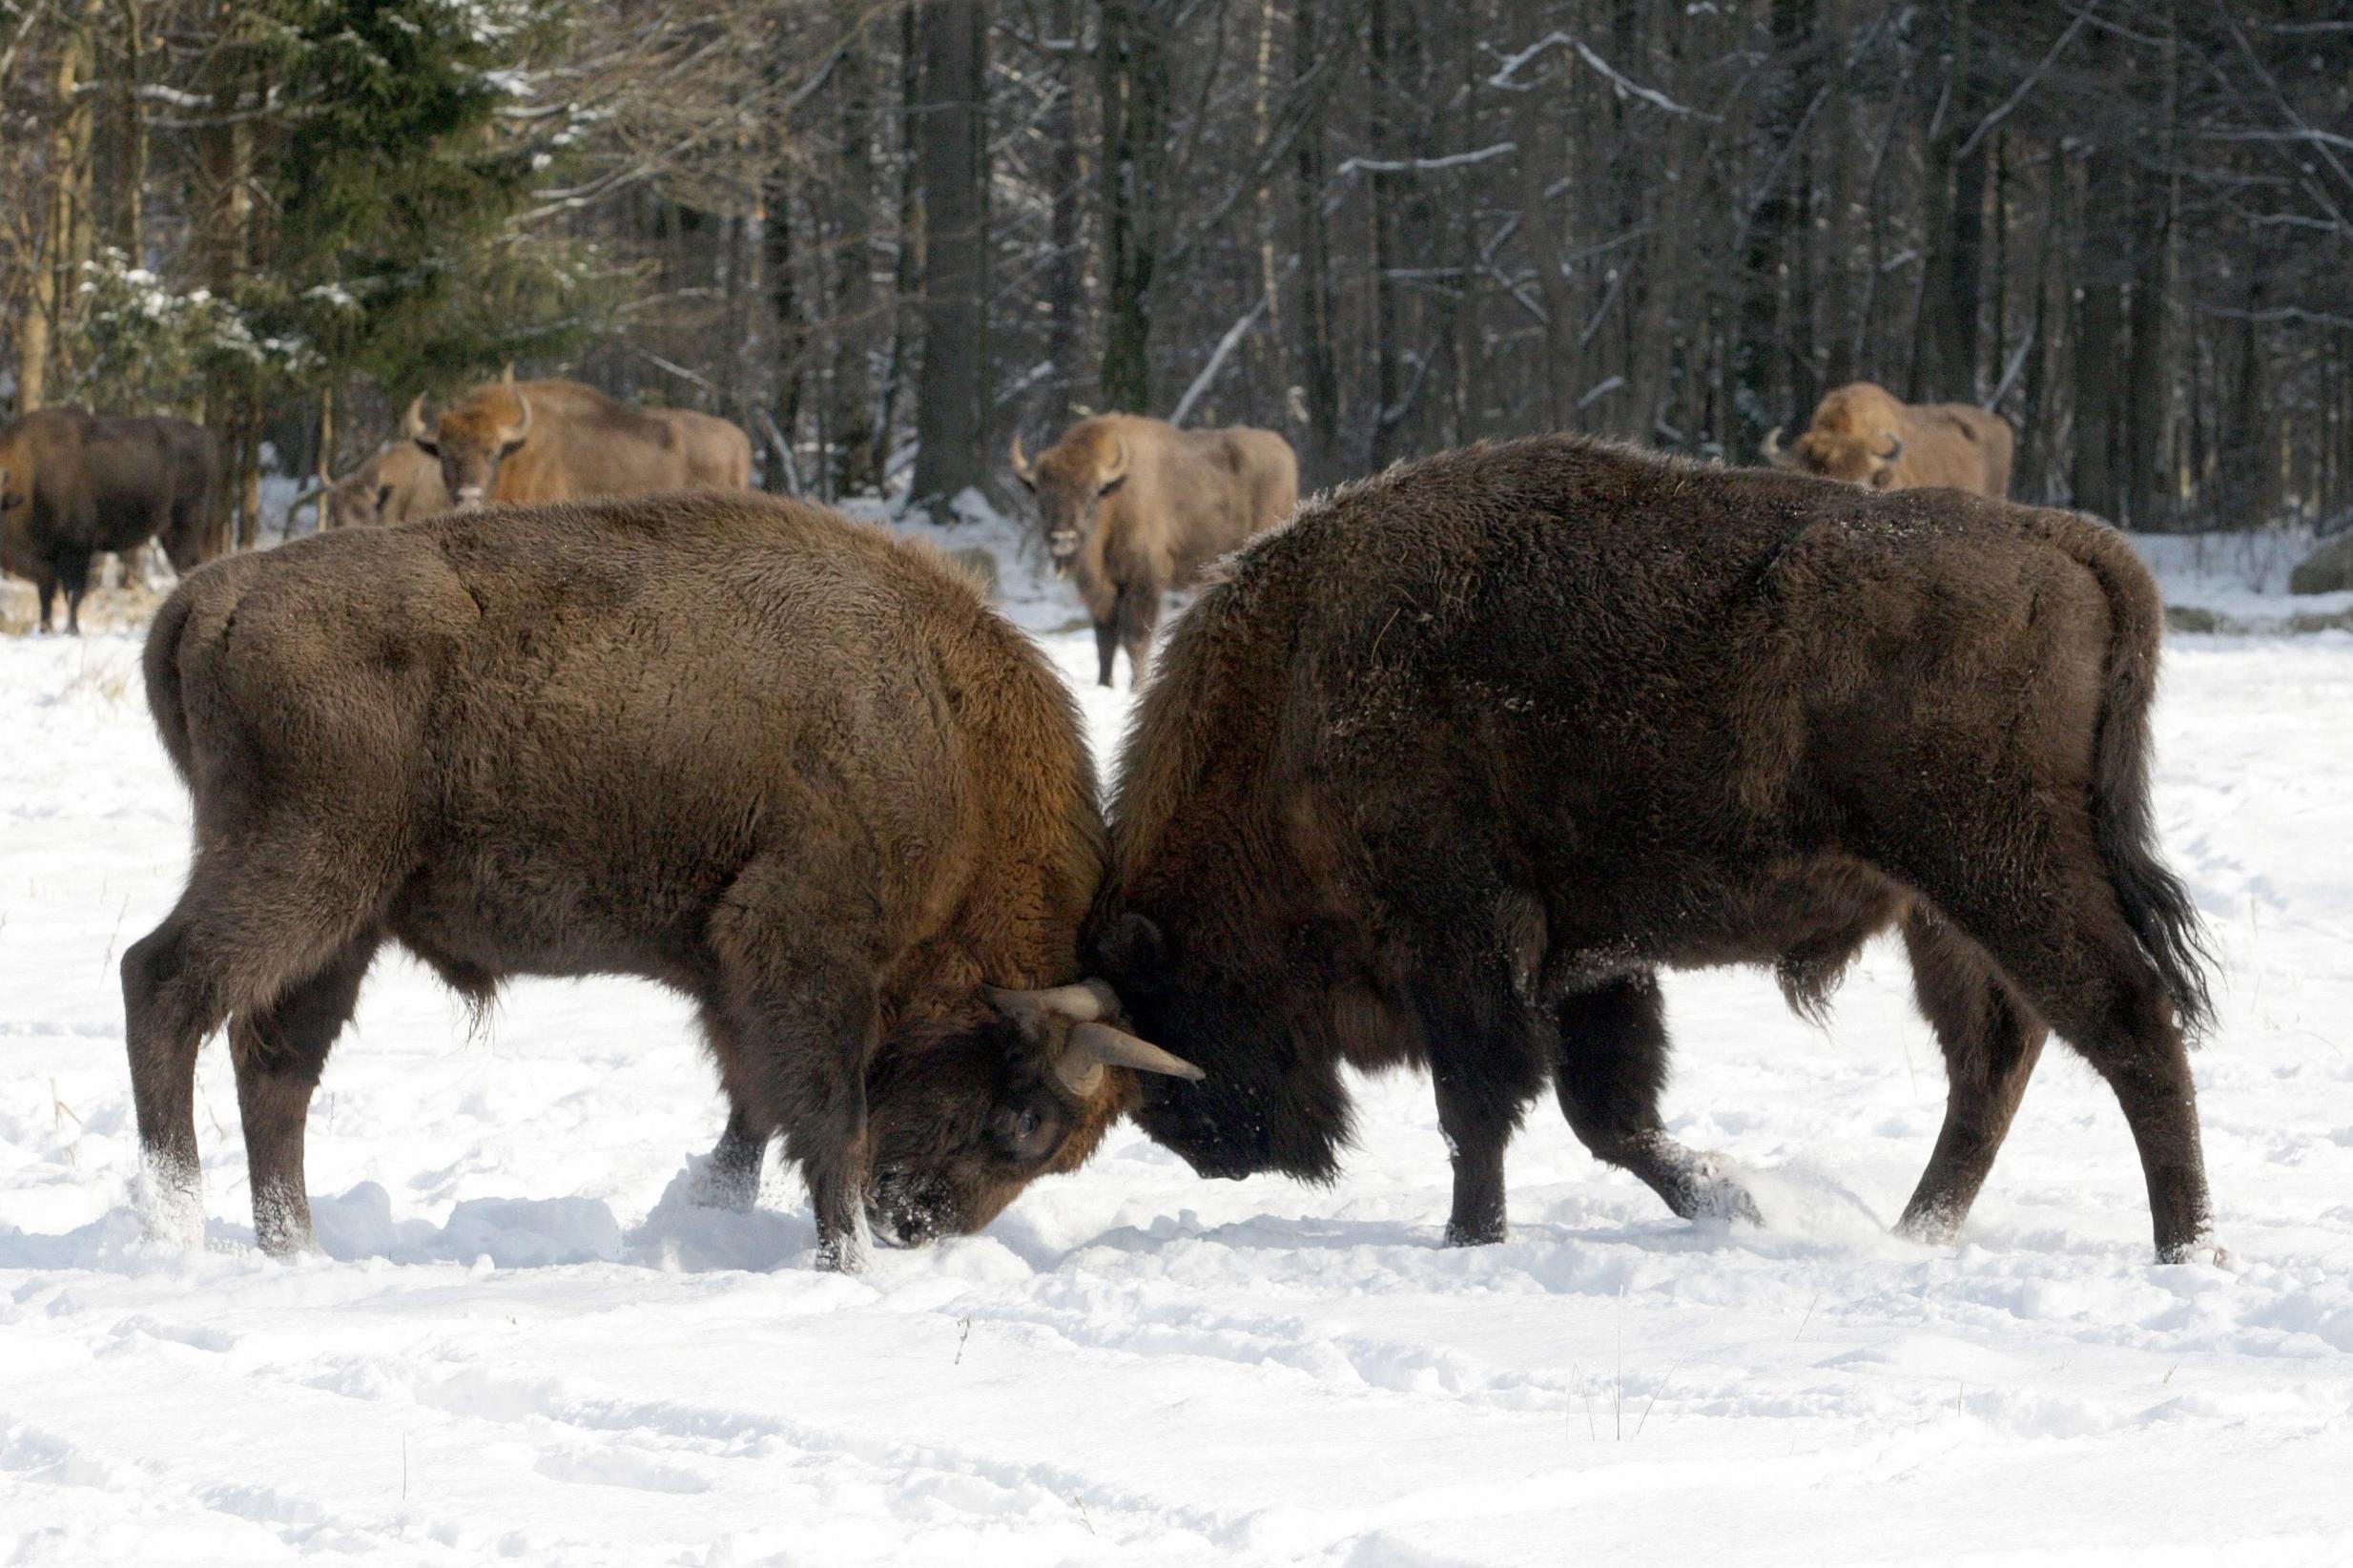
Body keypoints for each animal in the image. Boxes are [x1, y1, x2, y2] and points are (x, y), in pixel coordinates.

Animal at [124, 494, 1195, 1262]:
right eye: (1026, 1118)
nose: (917, 1225)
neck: (944, 727)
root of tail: (208, 599)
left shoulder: (735, 979)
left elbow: (751, 1116)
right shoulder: (802, 944)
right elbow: (826, 1118)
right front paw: (842, 1259)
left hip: (347, 922)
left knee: (275, 1065)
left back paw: (294, 1250)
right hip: (302, 870)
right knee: (164, 984)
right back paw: (176, 1231)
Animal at [1011, 414, 1308, 682]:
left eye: (1091, 494)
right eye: (1042, 495)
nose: (1063, 538)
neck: (1115, 497)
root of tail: (1284, 452)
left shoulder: (1144, 581)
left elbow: (1135, 639)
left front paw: (1136, 687)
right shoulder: (1103, 591)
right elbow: (1104, 641)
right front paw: (1104, 684)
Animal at [1091, 433, 2211, 1262]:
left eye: (1177, 1005)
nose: (1217, 1153)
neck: (1293, 688)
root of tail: (2060, 538)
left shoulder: (1460, 942)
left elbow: (1479, 1106)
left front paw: (1467, 1242)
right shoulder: (1585, 960)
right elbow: (1606, 1115)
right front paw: (1735, 1204)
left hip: (2001, 871)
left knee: (2129, 1027)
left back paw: (2186, 1250)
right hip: (1943, 911)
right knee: (1995, 1057)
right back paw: (1915, 1233)